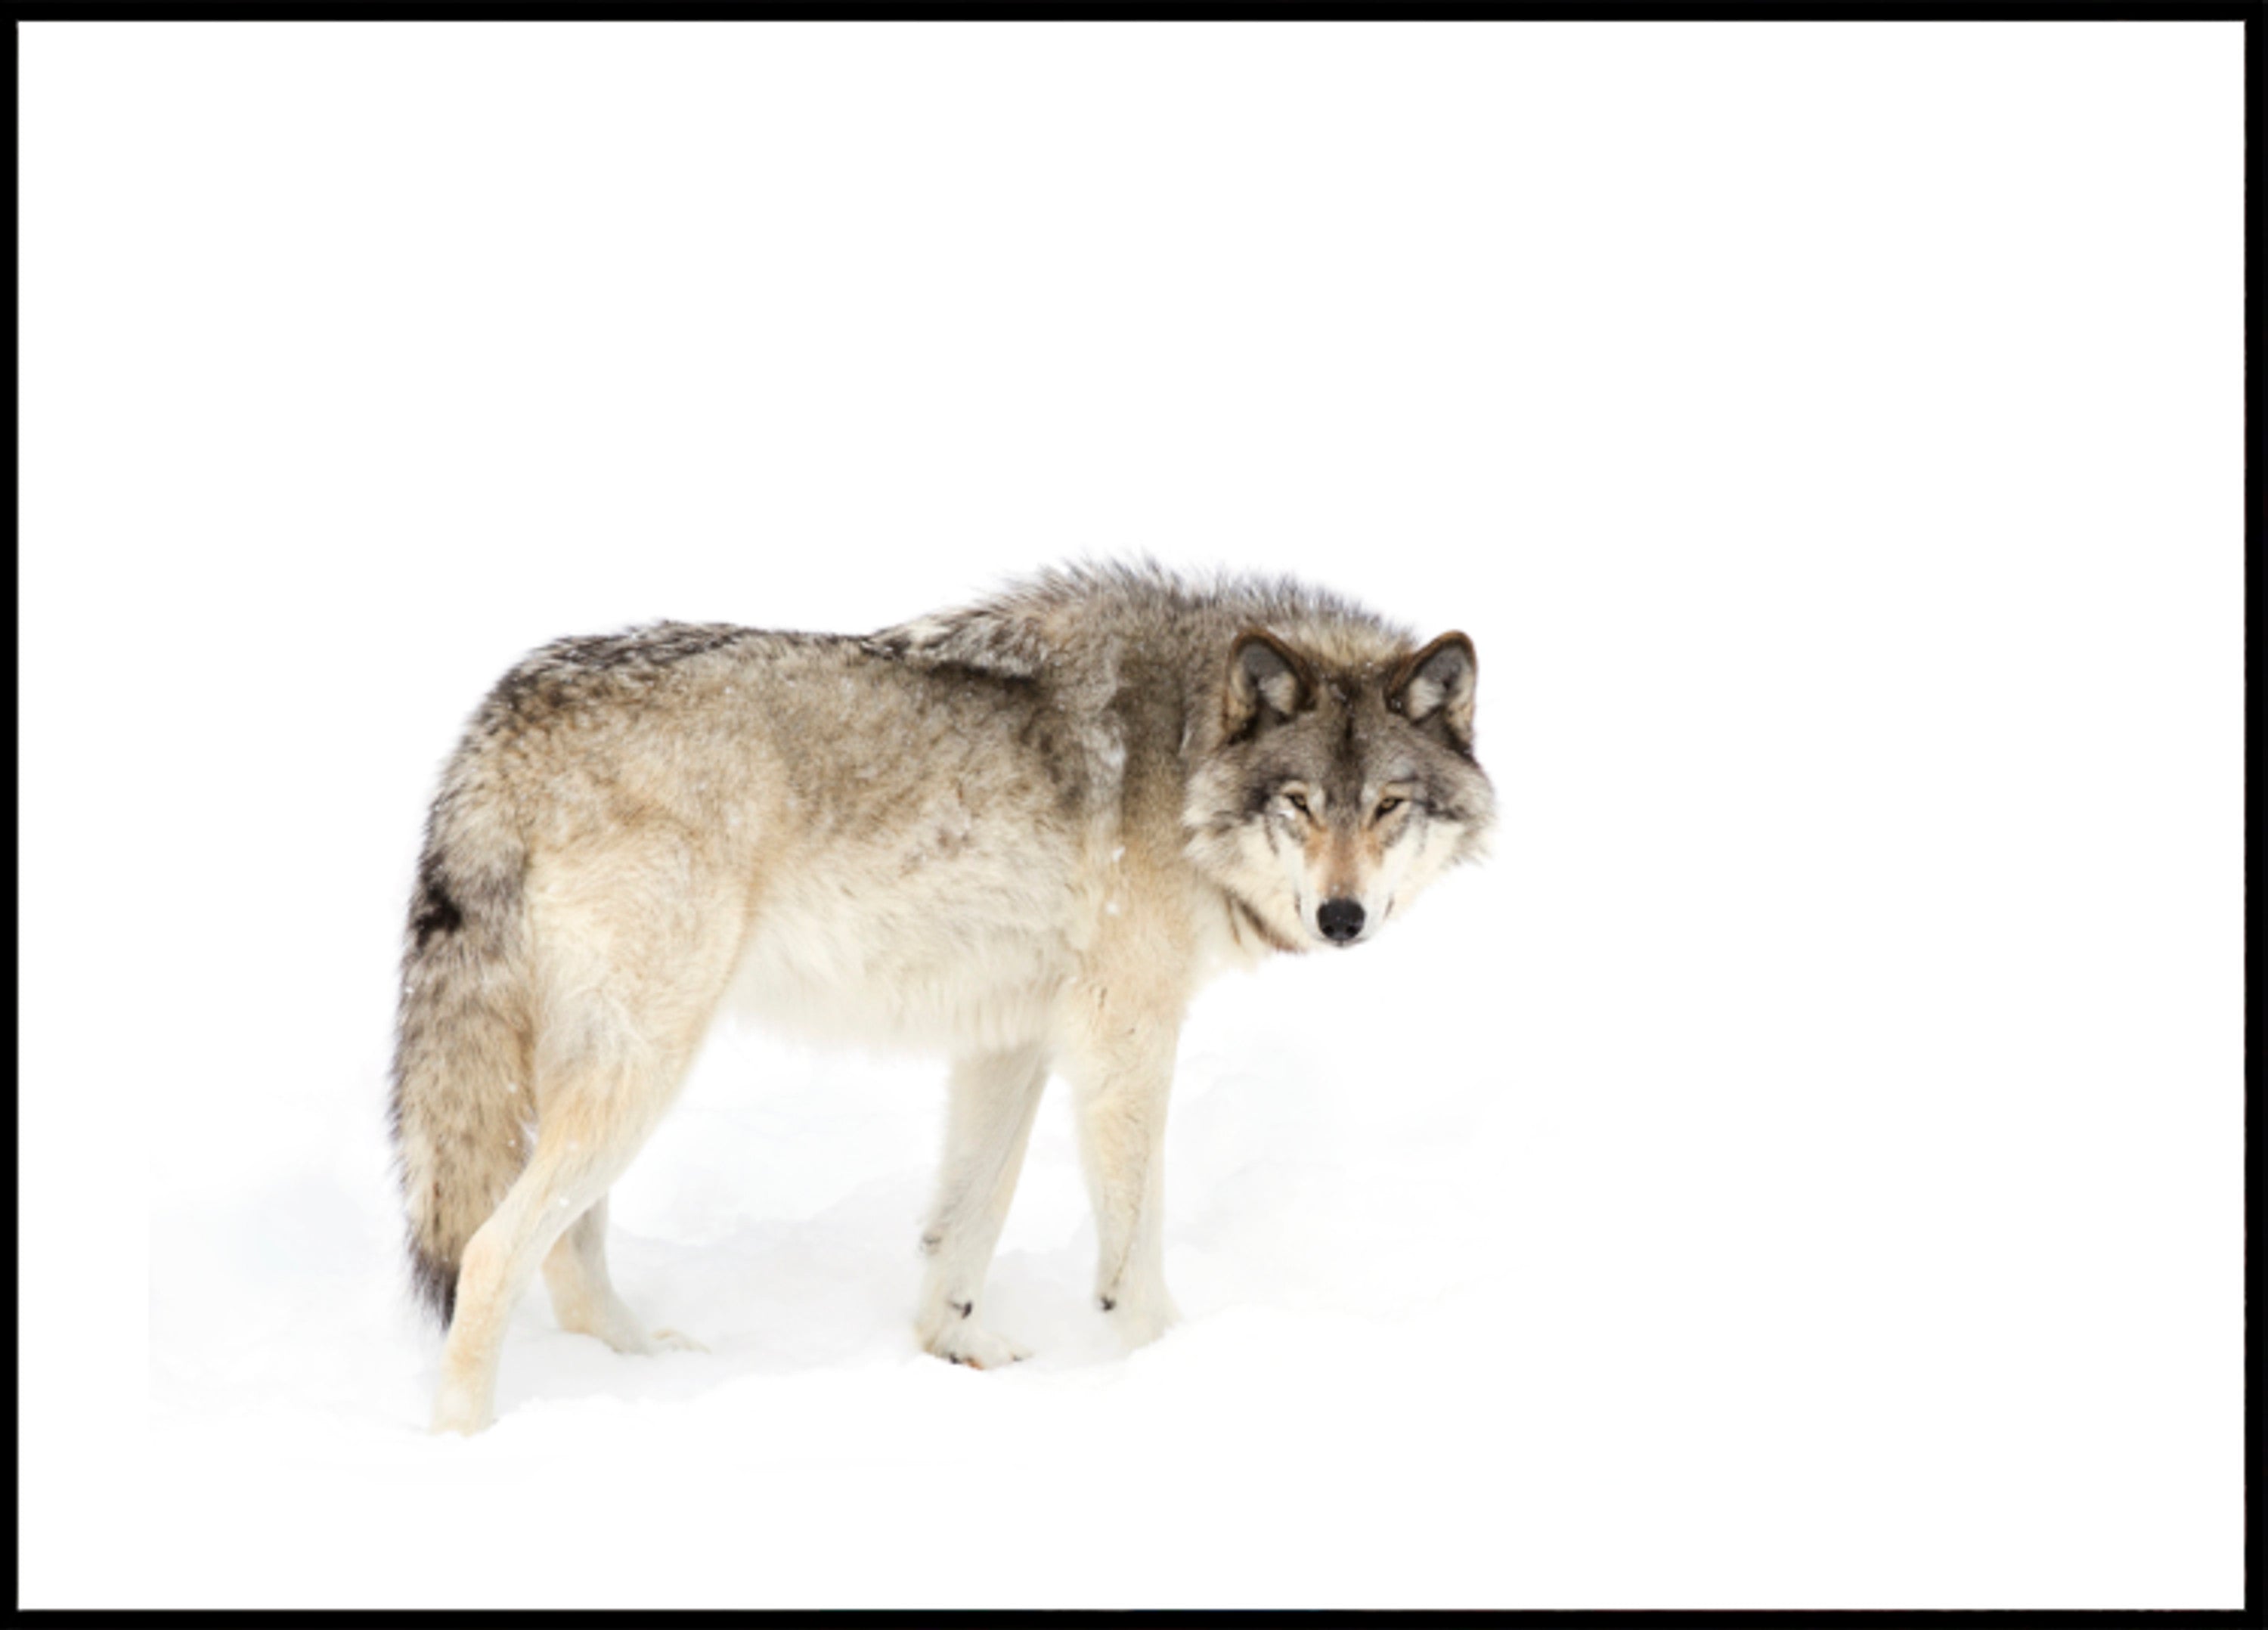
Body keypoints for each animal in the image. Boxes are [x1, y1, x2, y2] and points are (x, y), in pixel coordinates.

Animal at [390, 562, 1494, 1433]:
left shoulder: (1013, 1038)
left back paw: (647, 1368)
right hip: (643, 1067)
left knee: (568, 1254)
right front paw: (1167, 1366)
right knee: (491, 1253)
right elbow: (1131, 1254)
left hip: (606, 1073)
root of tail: (504, 714)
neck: (1184, 751)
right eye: (1300, 804)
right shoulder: (1123, 1038)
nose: (1342, 916)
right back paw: (465, 1440)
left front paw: (952, 1348)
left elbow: (966, 1221)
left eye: (1388, 806)